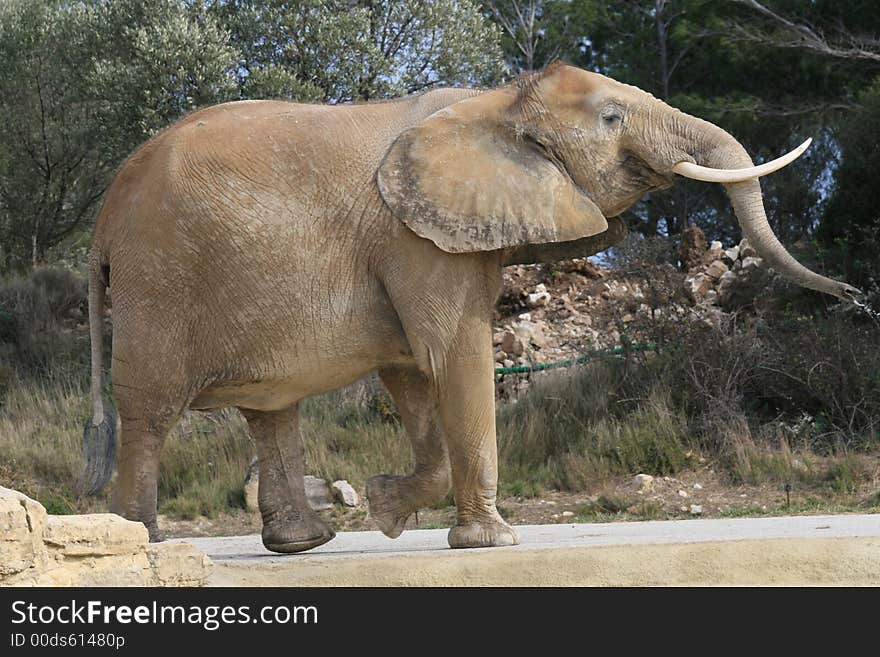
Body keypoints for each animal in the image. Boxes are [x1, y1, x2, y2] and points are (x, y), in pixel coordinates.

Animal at [82, 64, 860, 552]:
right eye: (612, 117)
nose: (855, 297)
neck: (499, 100)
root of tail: (104, 218)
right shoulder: (414, 238)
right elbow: (453, 353)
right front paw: (492, 541)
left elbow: (411, 369)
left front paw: (387, 508)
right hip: (161, 280)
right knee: (150, 410)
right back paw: (144, 541)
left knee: (272, 411)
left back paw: (303, 542)